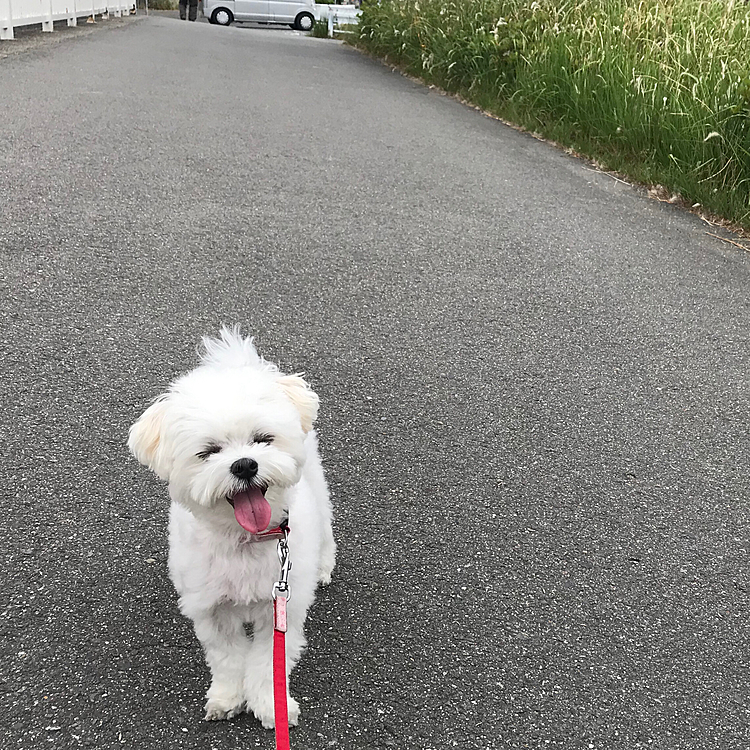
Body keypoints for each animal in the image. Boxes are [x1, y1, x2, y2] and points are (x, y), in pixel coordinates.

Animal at [128, 328, 336, 728]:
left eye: (263, 439)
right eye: (209, 451)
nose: (244, 464)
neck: (245, 539)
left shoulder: (280, 609)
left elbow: (268, 662)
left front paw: (271, 705)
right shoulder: (211, 608)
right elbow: (226, 658)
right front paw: (227, 698)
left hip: (317, 489)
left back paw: (323, 567)